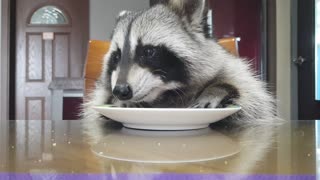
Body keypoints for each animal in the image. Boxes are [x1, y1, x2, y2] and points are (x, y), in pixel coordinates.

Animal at [82, 0, 276, 129]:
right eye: (117, 56)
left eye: (148, 51)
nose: (121, 91)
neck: (165, 95)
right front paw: (117, 102)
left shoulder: (235, 71)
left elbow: (254, 101)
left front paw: (218, 89)